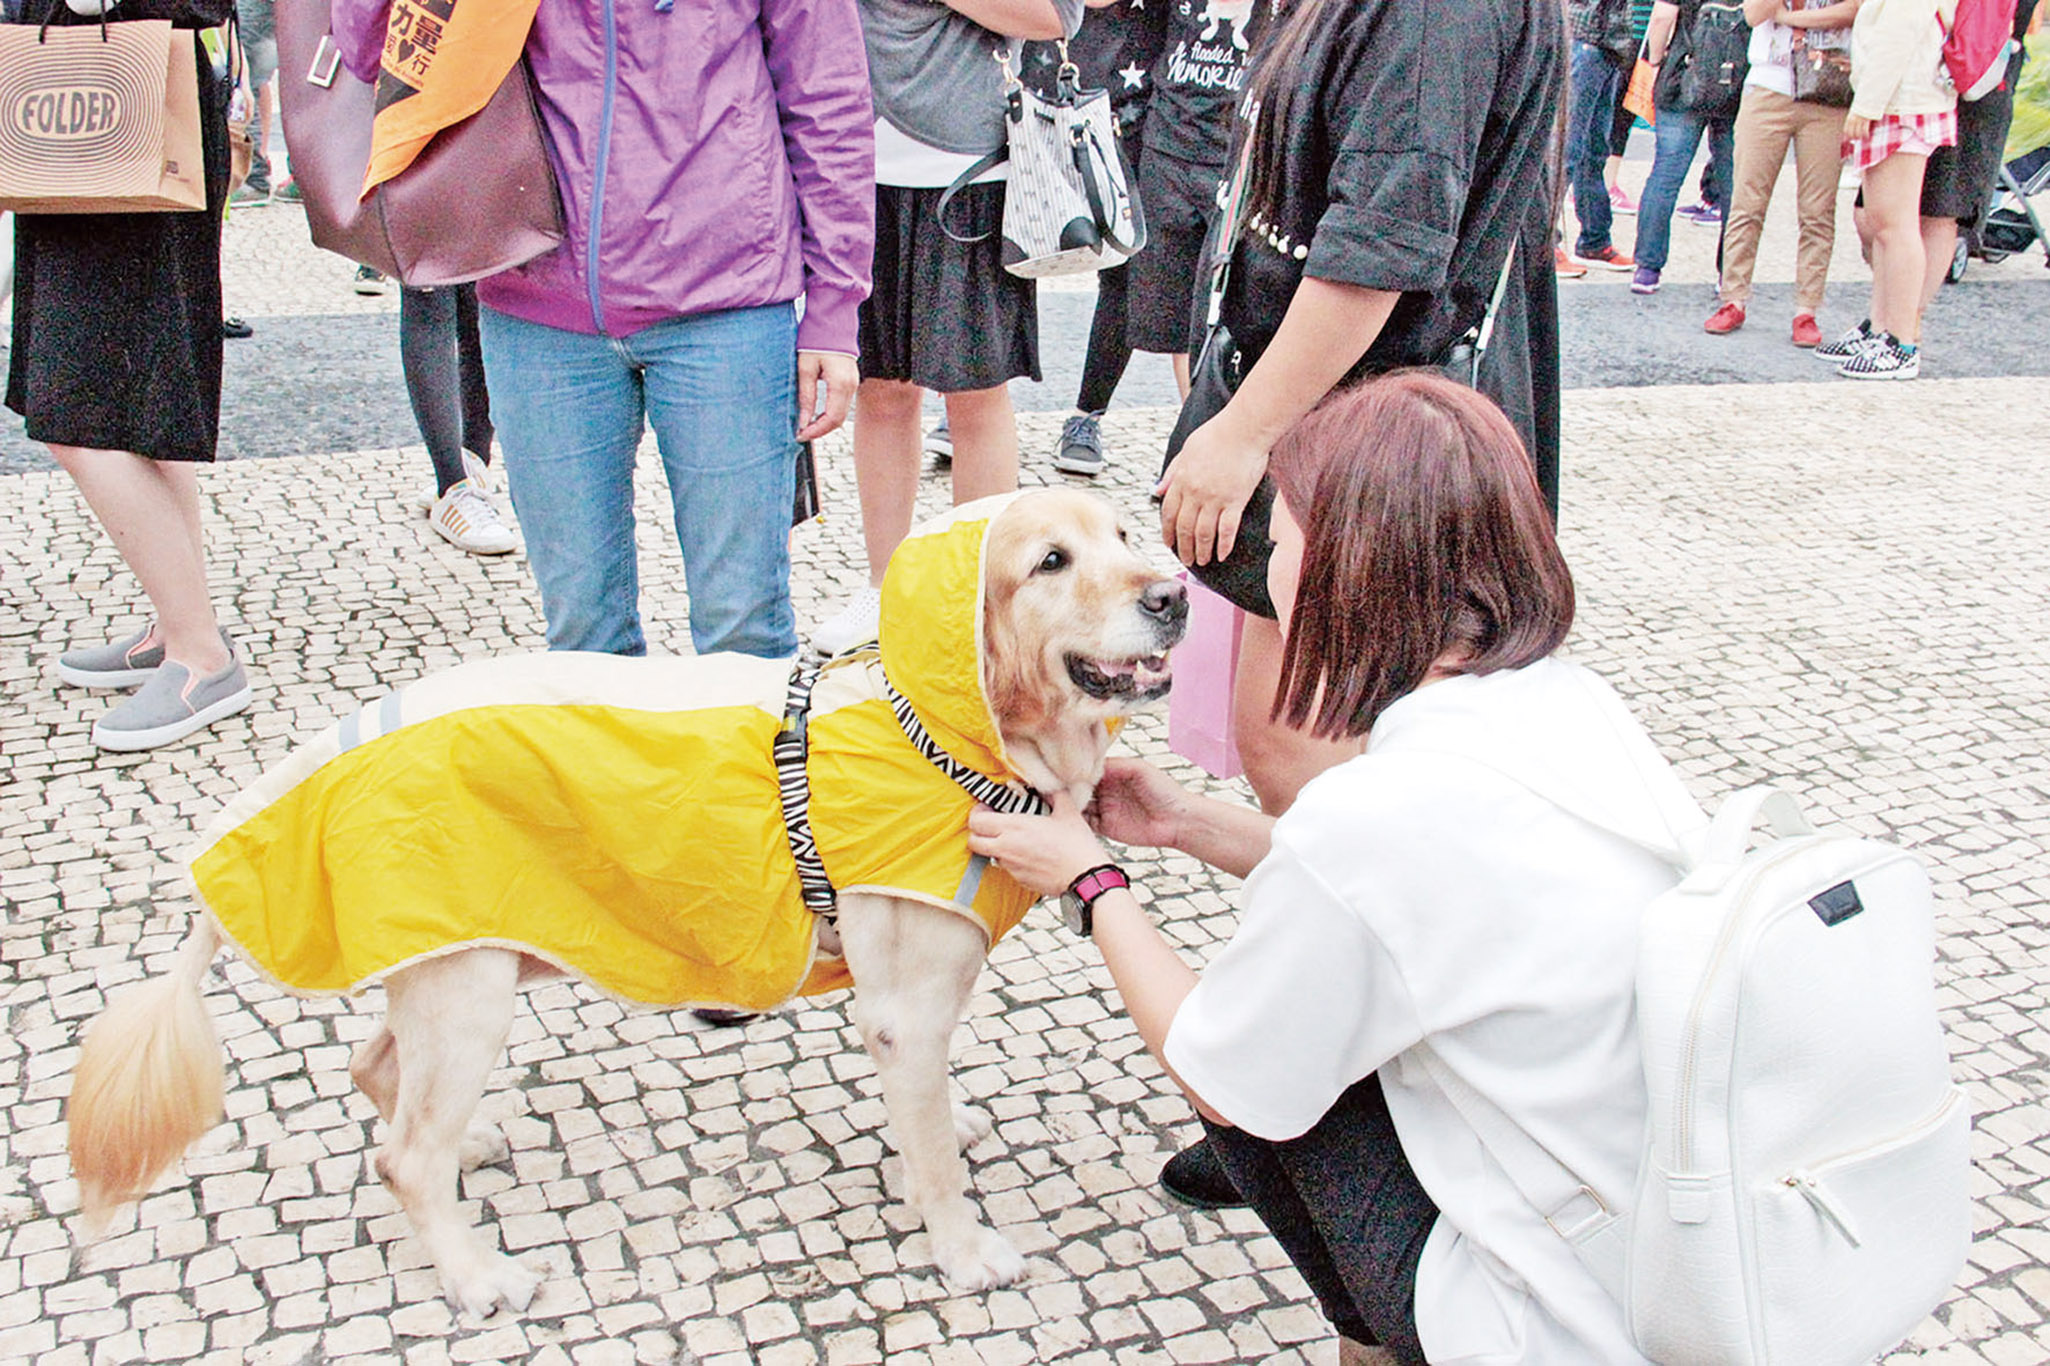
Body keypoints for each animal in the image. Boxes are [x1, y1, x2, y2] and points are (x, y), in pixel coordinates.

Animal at [68, 486, 1189, 1312]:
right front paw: (959, 1246)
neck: (941, 737)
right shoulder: (903, 1015)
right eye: (1049, 561)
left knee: (376, 1070)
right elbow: (938, 1155)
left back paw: (469, 1144)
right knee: (403, 1158)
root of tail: (317, 763)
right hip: (469, 985)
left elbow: (927, 1127)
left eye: (1124, 534)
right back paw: (475, 1274)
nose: (1177, 592)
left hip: (447, 964)